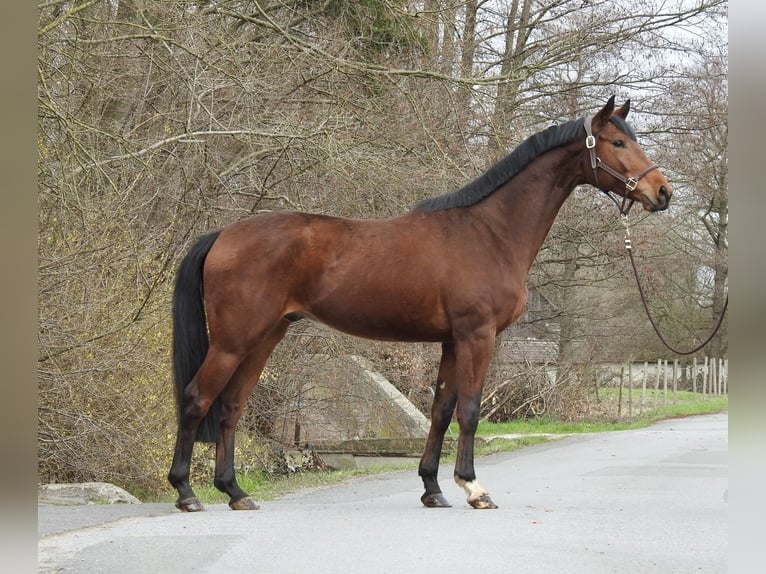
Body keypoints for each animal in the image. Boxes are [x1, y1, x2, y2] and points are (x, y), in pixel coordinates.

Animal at [168, 96, 671, 512]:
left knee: (231, 406)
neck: (490, 232)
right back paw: (187, 493)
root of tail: (224, 235)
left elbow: (441, 410)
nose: (662, 192)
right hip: (233, 340)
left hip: (265, 335)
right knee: (196, 399)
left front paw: (432, 488)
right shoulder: (477, 336)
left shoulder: (451, 341)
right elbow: (470, 410)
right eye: (617, 141)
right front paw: (473, 488)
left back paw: (235, 492)